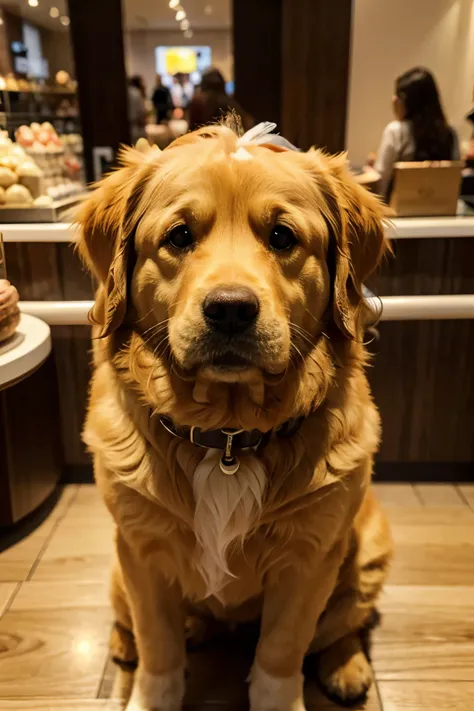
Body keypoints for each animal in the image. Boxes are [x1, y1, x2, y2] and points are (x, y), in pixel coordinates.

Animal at [78, 121, 392, 711]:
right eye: (179, 236)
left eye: (283, 237)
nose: (229, 309)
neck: (226, 436)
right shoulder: (140, 551)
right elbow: (159, 647)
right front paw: (152, 690)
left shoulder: (309, 560)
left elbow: (282, 653)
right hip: (114, 568)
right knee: (133, 624)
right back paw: (131, 644)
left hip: (368, 552)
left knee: (343, 626)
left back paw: (348, 666)